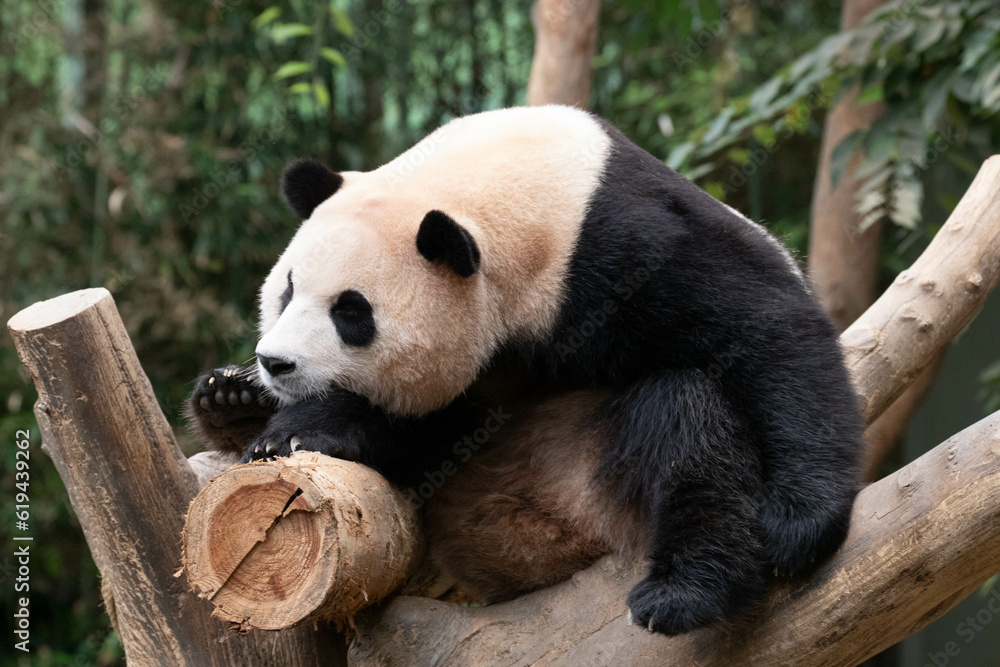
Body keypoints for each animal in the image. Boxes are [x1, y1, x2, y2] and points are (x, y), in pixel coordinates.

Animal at [187, 105, 864, 635]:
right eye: (287, 289)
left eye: (351, 313)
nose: (276, 362)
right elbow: (438, 423)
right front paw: (268, 417)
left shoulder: (625, 246)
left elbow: (766, 329)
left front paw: (800, 522)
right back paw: (230, 402)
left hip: (590, 486)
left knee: (688, 420)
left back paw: (683, 592)